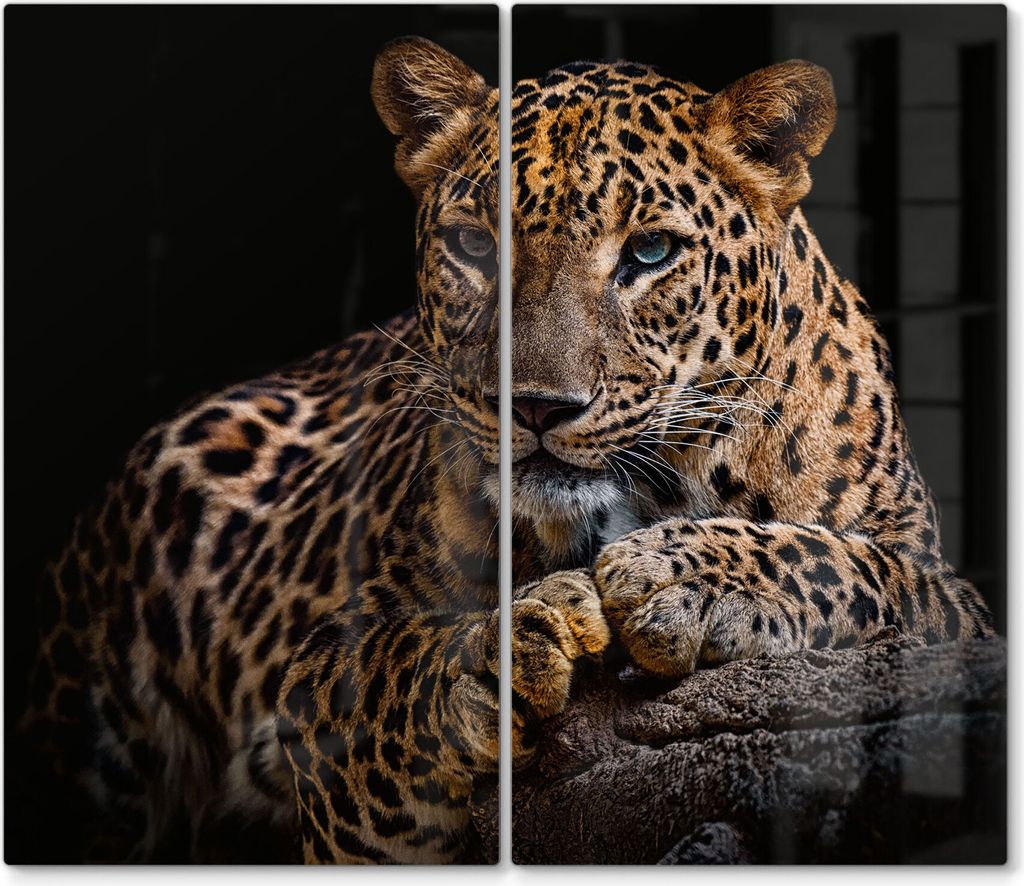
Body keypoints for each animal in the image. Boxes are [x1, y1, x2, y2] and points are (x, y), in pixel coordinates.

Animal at [19, 36, 994, 865]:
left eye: (649, 252)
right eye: (474, 245)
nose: (534, 406)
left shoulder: (954, 603)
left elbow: (858, 568)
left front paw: (686, 578)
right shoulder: (316, 701)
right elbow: (386, 675)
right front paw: (507, 650)